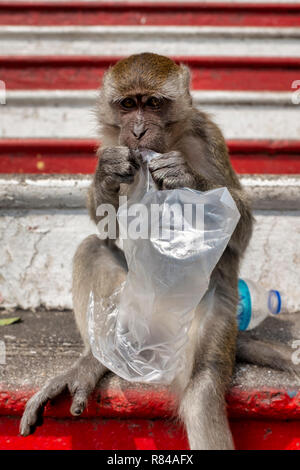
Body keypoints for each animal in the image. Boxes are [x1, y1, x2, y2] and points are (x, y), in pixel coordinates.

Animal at [20, 53, 296, 450]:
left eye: (152, 104)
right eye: (127, 105)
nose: (136, 132)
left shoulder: (208, 137)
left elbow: (238, 227)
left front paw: (185, 177)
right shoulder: (112, 142)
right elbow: (106, 225)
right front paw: (107, 173)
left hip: (208, 318)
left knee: (201, 390)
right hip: (129, 313)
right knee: (91, 248)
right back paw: (95, 361)